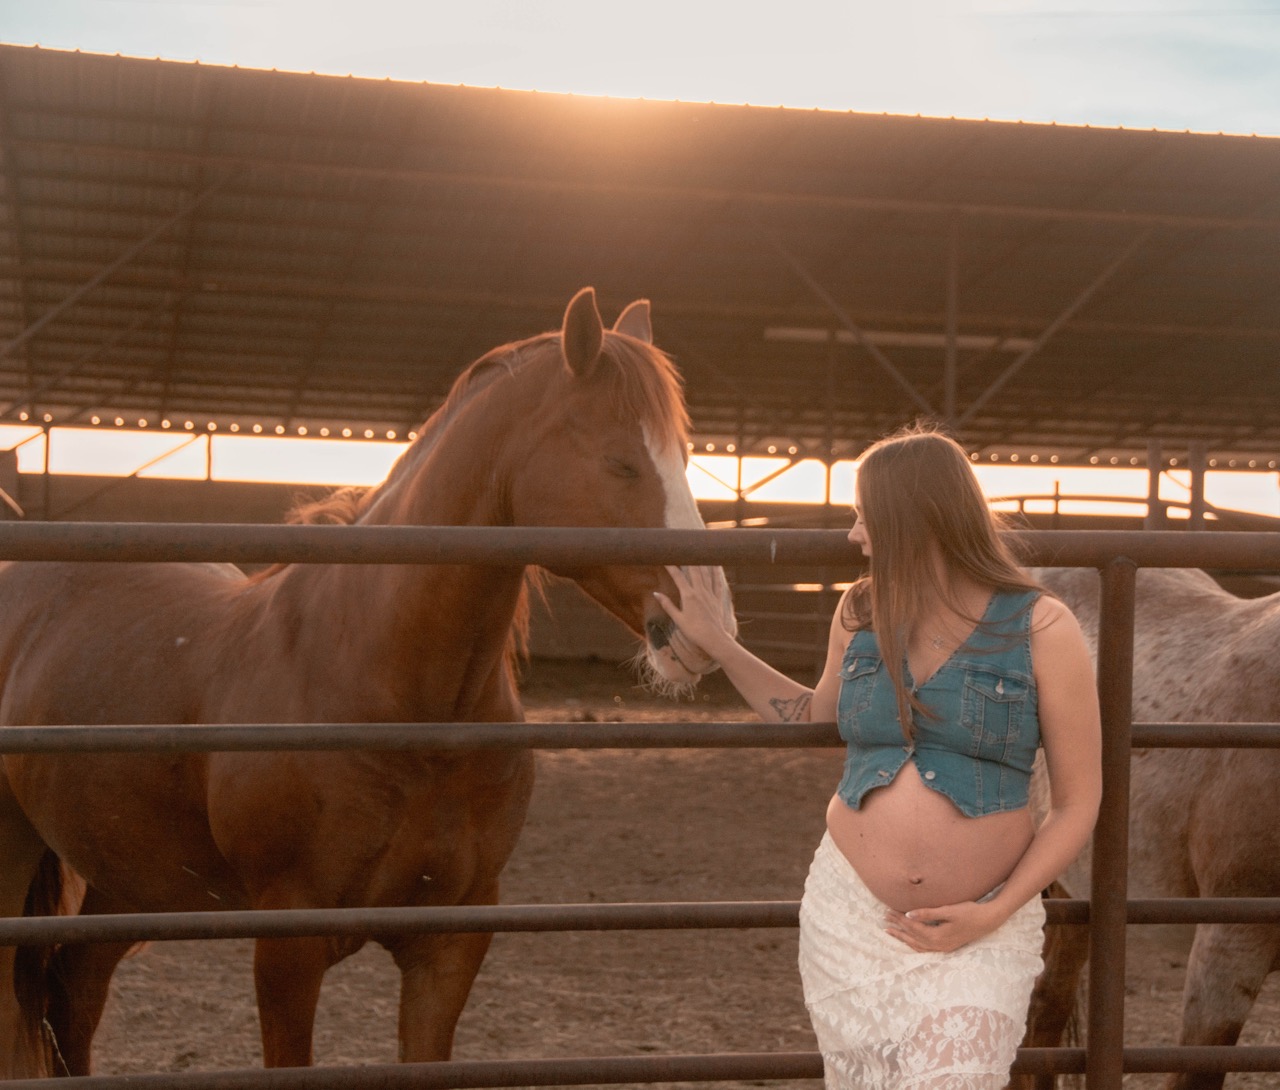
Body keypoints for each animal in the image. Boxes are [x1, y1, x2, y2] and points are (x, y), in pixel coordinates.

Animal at [0, 286, 737, 1078]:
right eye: (621, 463)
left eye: (685, 459)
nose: (709, 623)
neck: (395, 698)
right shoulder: (288, 948)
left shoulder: (448, 945)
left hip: (135, 877)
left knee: (74, 990)